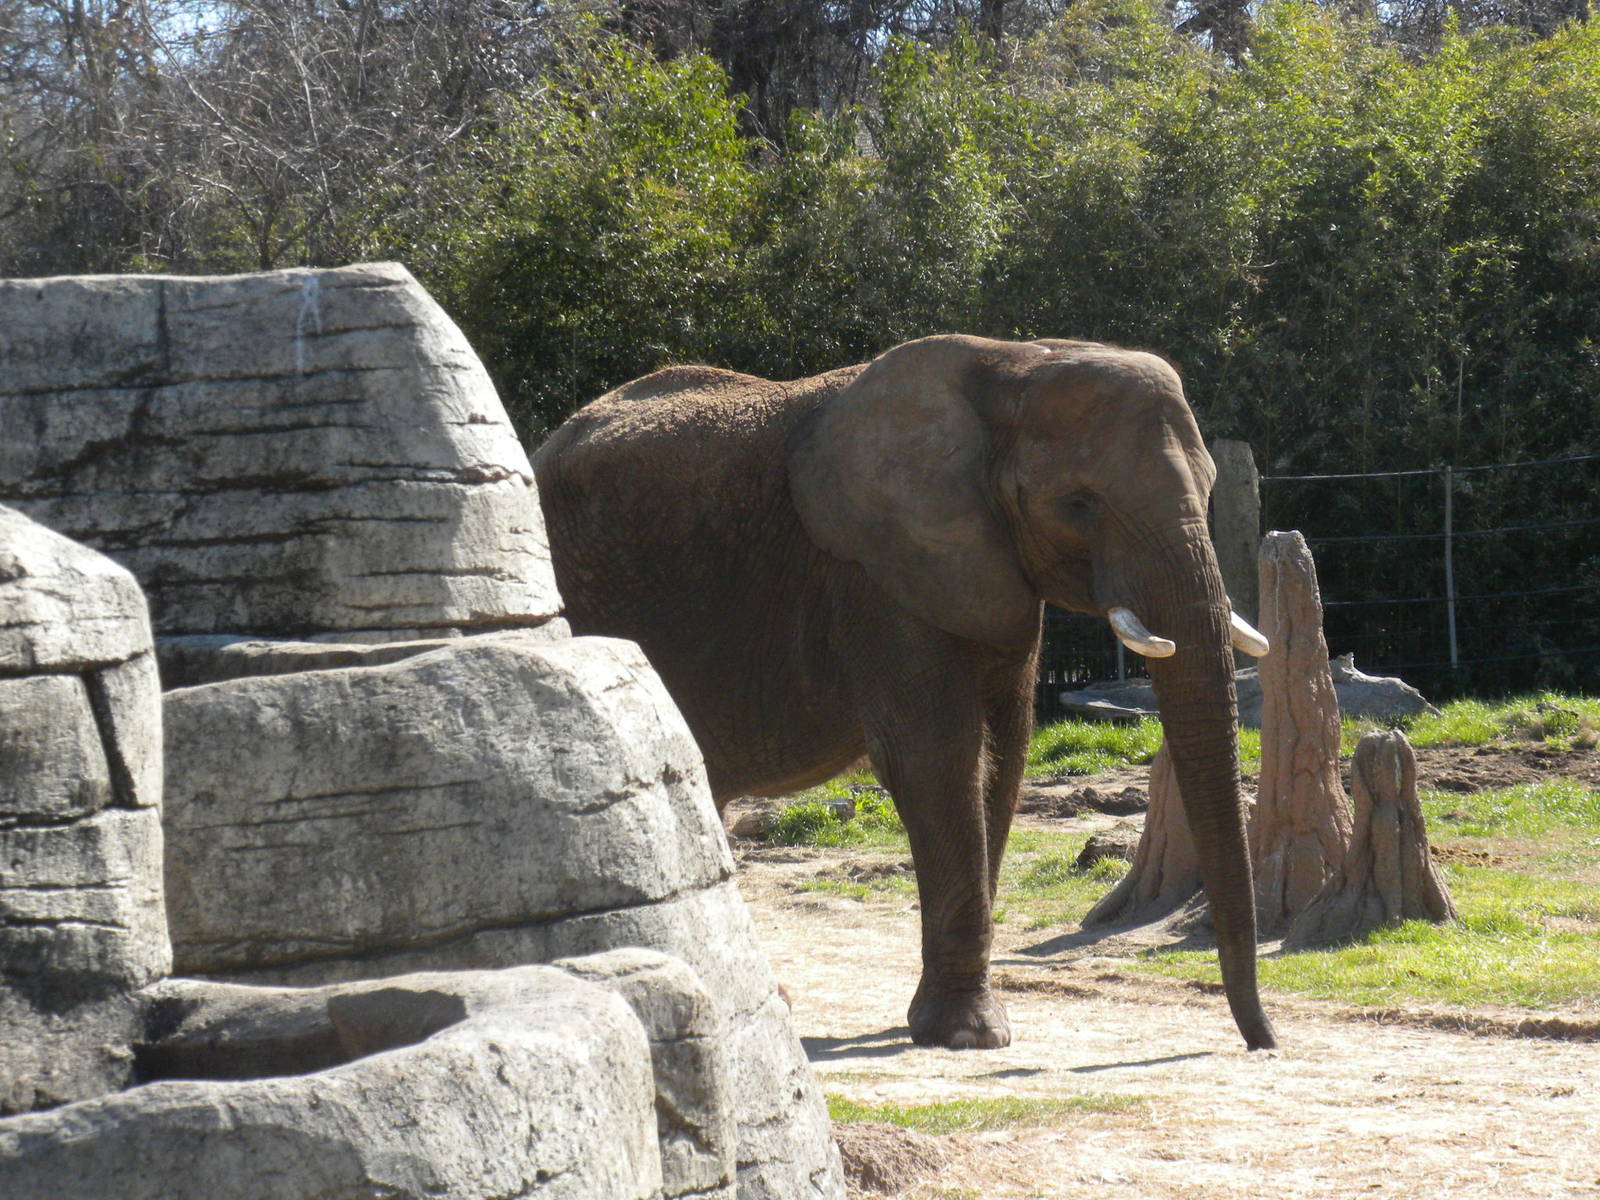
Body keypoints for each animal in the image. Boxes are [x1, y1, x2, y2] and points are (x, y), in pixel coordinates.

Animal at [532, 334, 1277, 1052]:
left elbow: (1004, 754)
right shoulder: (875, 569)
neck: (1012, 361)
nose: (1261, 1042)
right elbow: (938, 756)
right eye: (1078, 503)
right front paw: (970, 1035)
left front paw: (947, 1023)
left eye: (1211, 485)